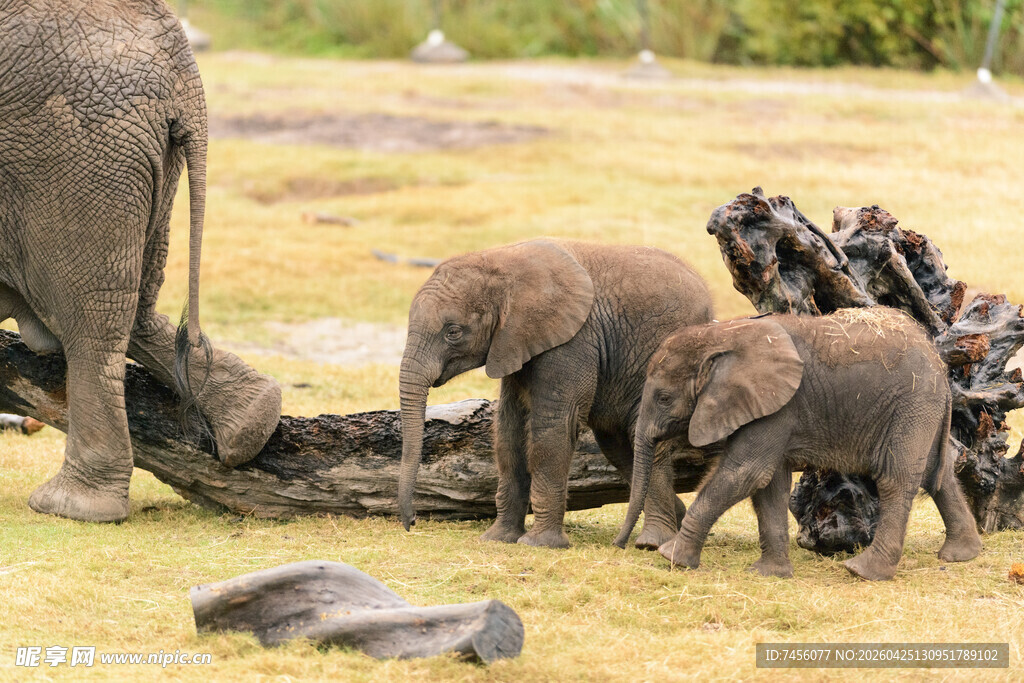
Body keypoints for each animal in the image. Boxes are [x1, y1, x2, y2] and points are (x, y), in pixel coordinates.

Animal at [0, 0, 282, 522]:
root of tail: (183, 74)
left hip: (74, 154)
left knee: (90, 322)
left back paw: (73, 507)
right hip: (144, 160)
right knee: (134, 306)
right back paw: (254, 421)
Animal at [397, 239, 714, 548]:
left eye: (453, 332)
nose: (411, 522)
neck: (503, 261)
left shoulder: (574, 340)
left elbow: (552, 426)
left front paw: (538, 544)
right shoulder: (514, 343)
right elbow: (509, 431)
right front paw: (498, 538)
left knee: (644, 438)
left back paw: (652, 542)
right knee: (618, 445)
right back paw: (676, 521)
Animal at [615, 308, 982, 580]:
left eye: (663, 398)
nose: (621, 545)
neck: (724, 335)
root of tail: (941, 366)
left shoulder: (777, 406)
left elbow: (745, 474)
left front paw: (672, 557)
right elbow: (768, 484)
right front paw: (769, 574)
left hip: (910, 406)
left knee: (896, 479)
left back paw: (862, 572)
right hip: (921, 410)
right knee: (937, 474)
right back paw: (960, 555)